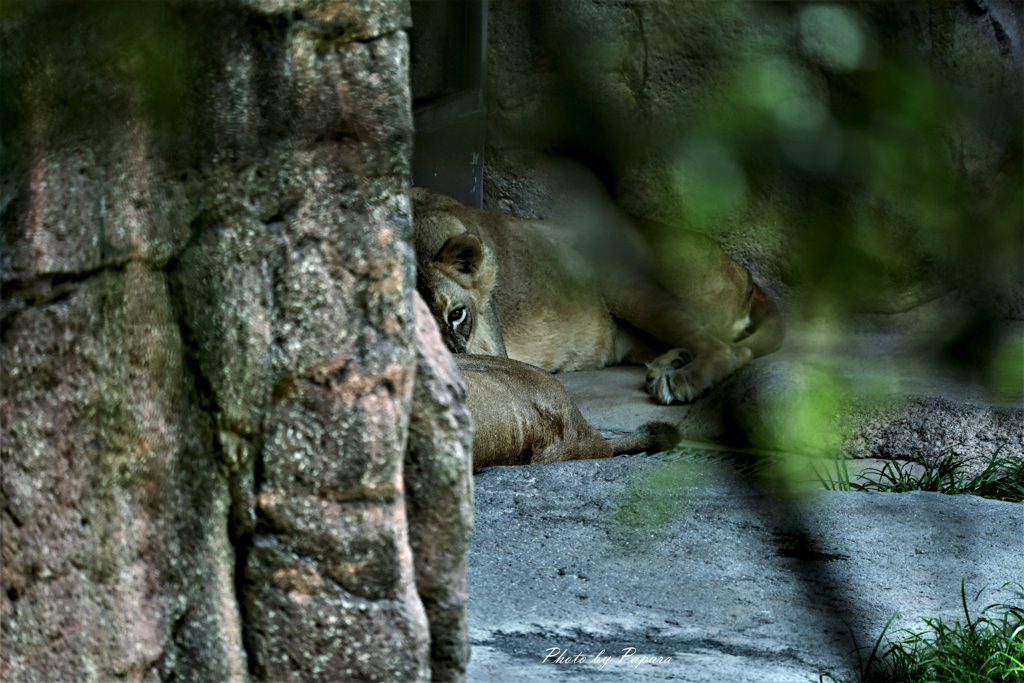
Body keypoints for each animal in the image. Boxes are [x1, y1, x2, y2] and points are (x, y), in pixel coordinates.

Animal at [411, 185, 778, 405]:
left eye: (456, 314)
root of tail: (746, 274)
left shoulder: (490, 348)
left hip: (622, 282)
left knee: (732, 351)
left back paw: (680, 379)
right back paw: (671, 363)